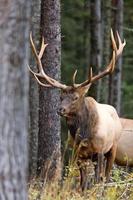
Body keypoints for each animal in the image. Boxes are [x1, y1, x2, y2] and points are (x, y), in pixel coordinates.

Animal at [28, 29, 125, 191]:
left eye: (75, 97)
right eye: (61, 96)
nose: (60, 109)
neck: (84, 134)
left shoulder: (99, 151)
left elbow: (97, 180)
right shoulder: (78, 154)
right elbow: (83, 183)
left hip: (113, 147)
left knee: (106, 177)